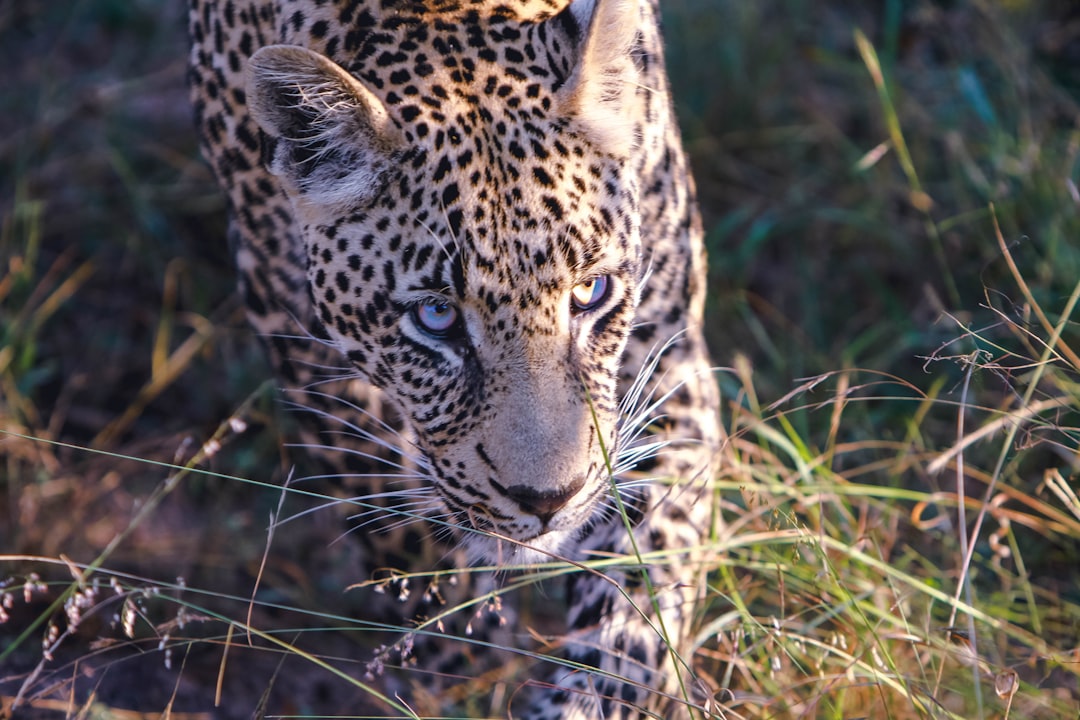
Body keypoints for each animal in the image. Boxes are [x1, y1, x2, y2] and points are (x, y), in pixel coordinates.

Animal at [189, 2, 721, 716]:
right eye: (435, 317)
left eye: (590, 292)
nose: (547, 500)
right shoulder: (299, 338)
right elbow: (401, 534)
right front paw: (459, 672)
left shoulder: (665, 356)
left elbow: (639, 598)